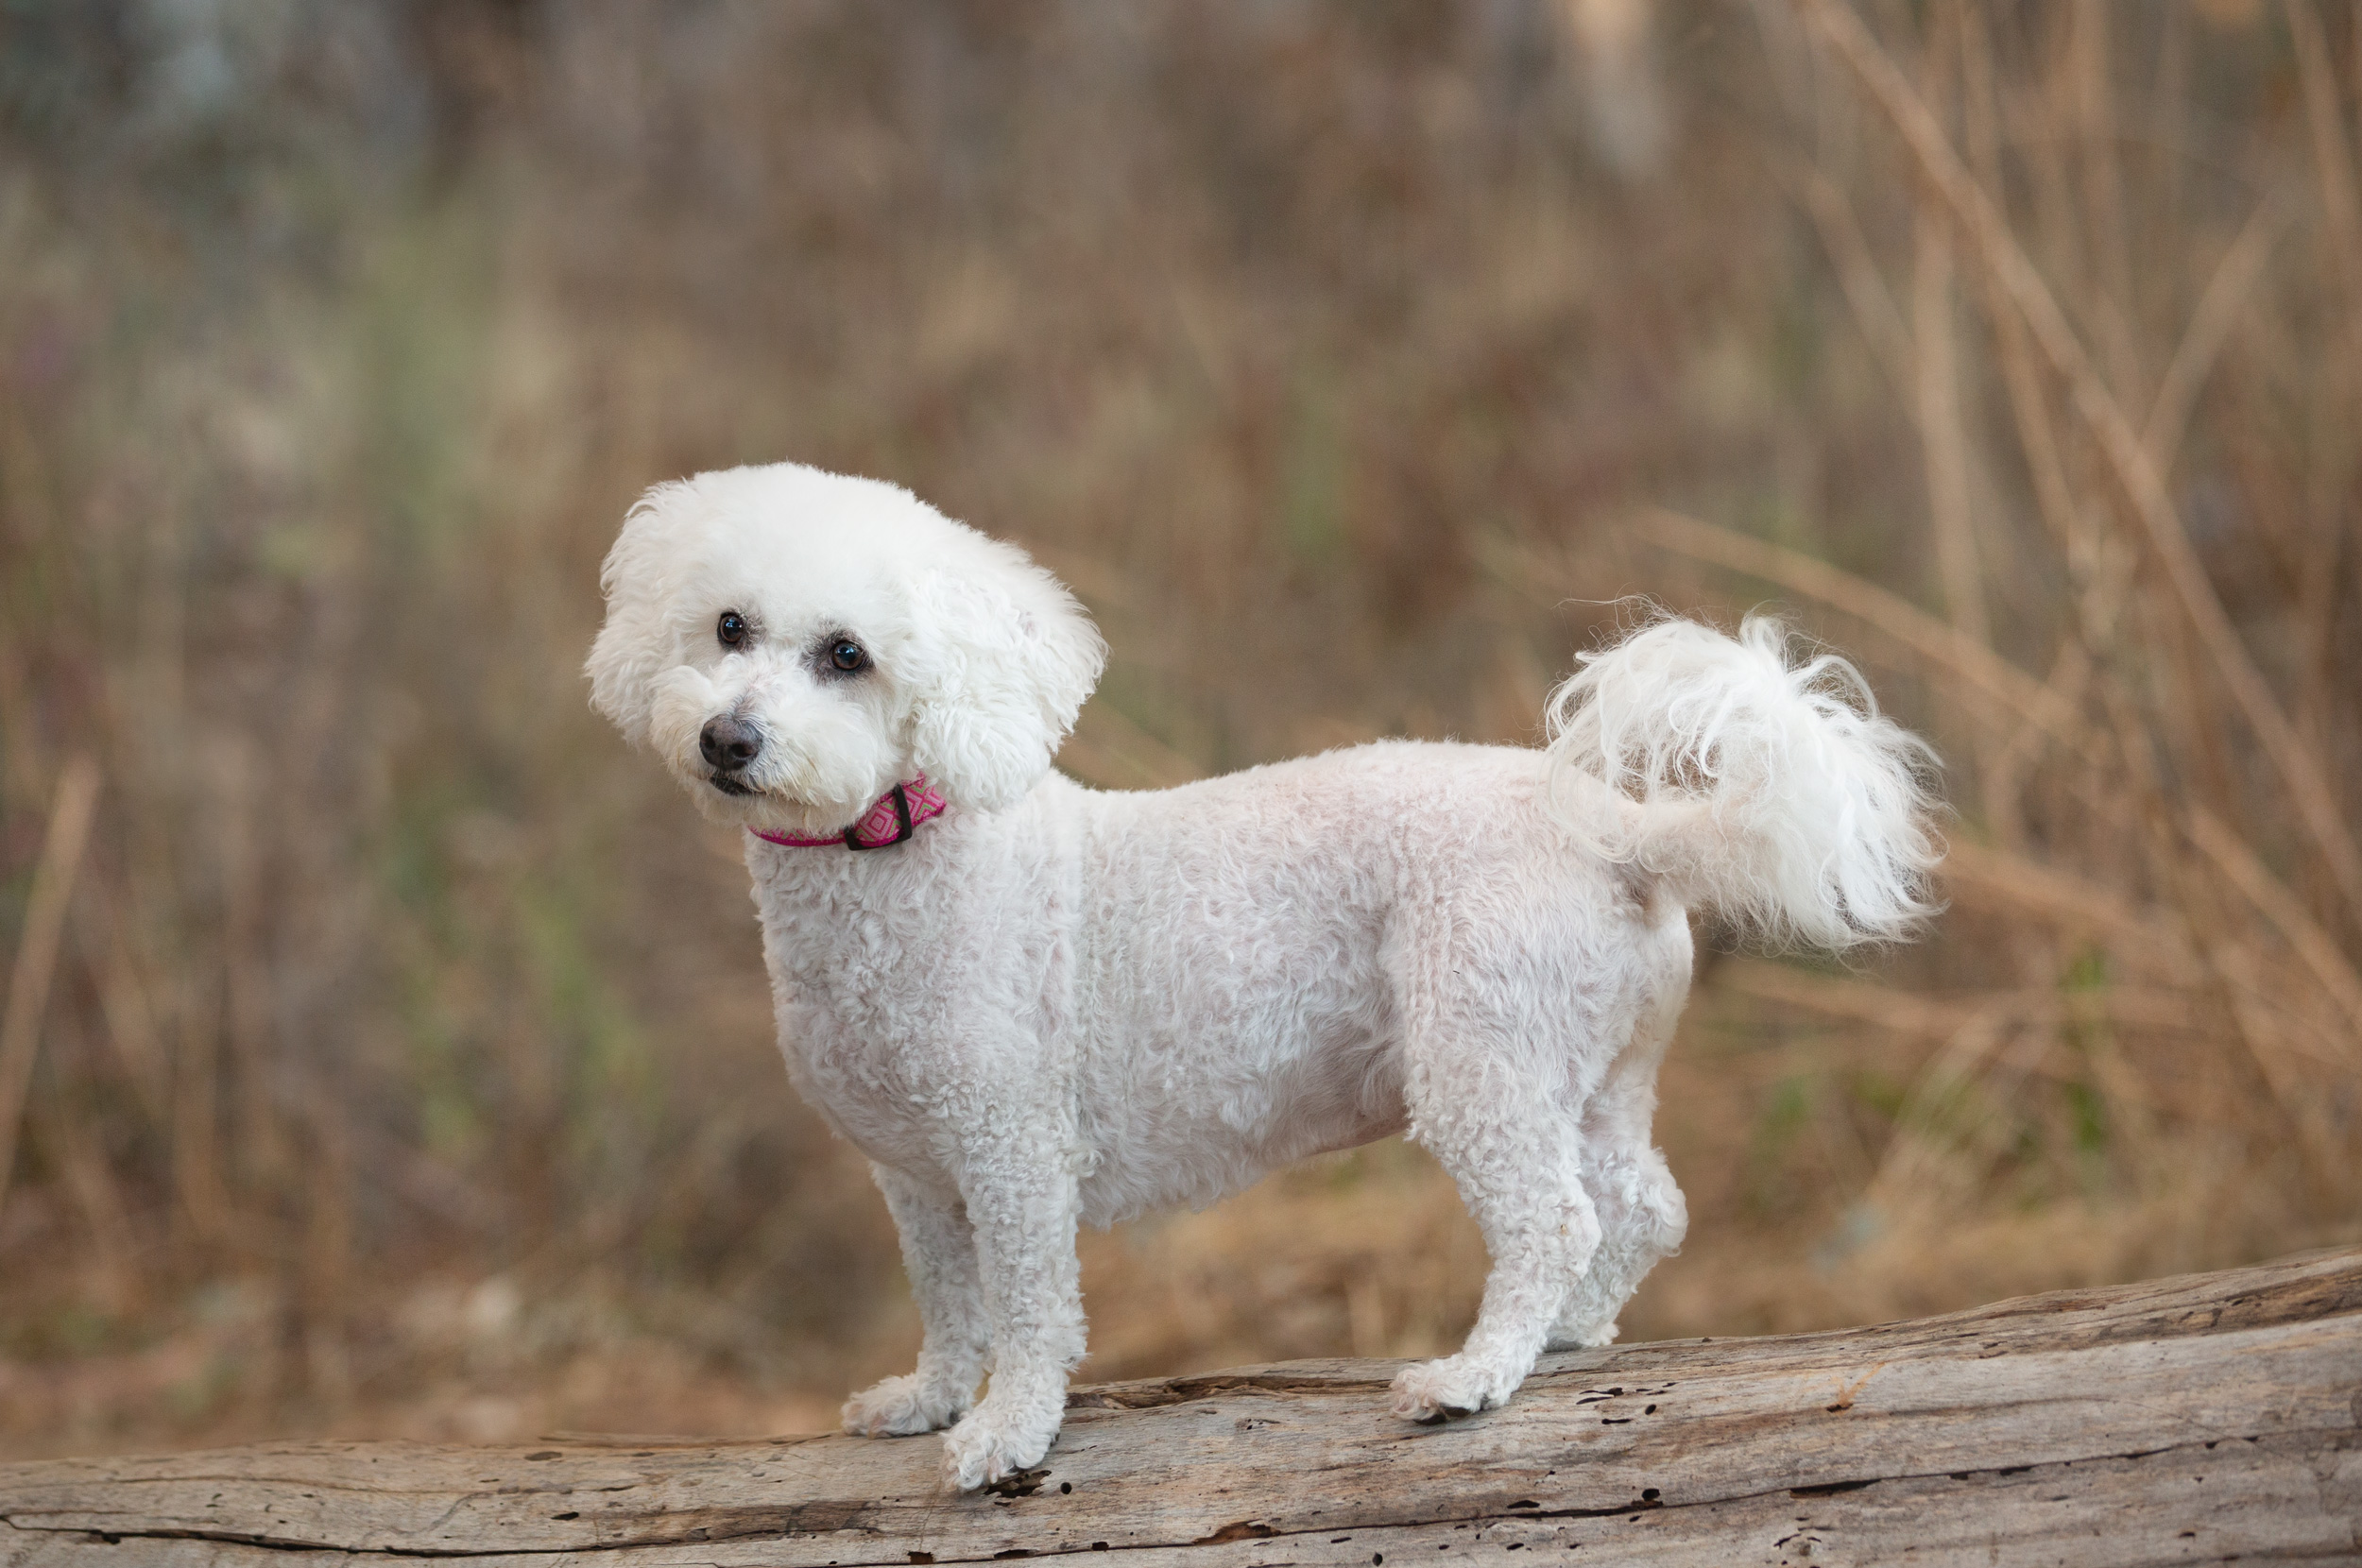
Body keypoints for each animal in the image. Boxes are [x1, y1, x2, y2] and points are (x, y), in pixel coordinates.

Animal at [590, 460, 1937, 1492]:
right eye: (727, 628)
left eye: (846, 654)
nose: (727, 739)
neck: (906, 851)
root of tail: (1622, 835)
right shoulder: (918, 1174)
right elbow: (947, 1303)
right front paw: (925, 1399)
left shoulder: (1010, 1150)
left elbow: (1025, 1313)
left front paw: (1004, 1437)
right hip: (1589, 1074)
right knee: (1642, 1208)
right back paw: (1564, 1333)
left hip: (1481, 1061)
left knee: (1553, 1220)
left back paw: (1472, 1379)